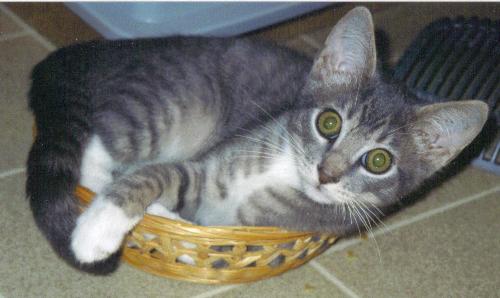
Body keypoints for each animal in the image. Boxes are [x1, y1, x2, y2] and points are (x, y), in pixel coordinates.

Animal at [27, 6, 488, 272]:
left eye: (379, 162)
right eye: (329, 123)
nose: (326, 173)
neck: (281, 173)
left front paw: (176, 235)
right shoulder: (207, 164)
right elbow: (154, 175)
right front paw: (98, 228)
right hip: (170, 104)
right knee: (96, 147)